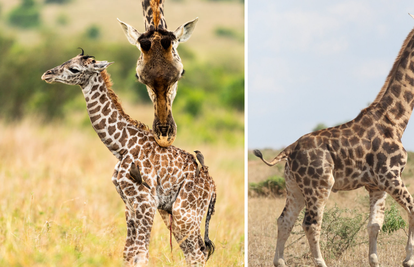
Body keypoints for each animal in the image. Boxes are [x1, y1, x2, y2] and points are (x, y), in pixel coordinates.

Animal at [40, 51, 217, 266]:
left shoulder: (145, 201)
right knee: (195, 251)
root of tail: (212, 186)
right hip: (174, 213)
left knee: (197, 254)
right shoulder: (129, 205)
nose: (47, 74)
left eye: (74, 69)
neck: (122, 146)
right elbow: (128, 253)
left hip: (185, 213)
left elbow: (141, 254)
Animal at [254, 20, 414, 266]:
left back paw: (280, 261)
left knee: (284, 220)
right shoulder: (391, 176)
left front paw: (375, 261)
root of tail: (290, 150)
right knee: (310, 224)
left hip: (293, 186)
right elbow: (413, 210)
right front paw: (408, 259)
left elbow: (374, 225)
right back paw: (321, 262)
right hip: (319, 185)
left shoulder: (377, 185)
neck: (395, 121)